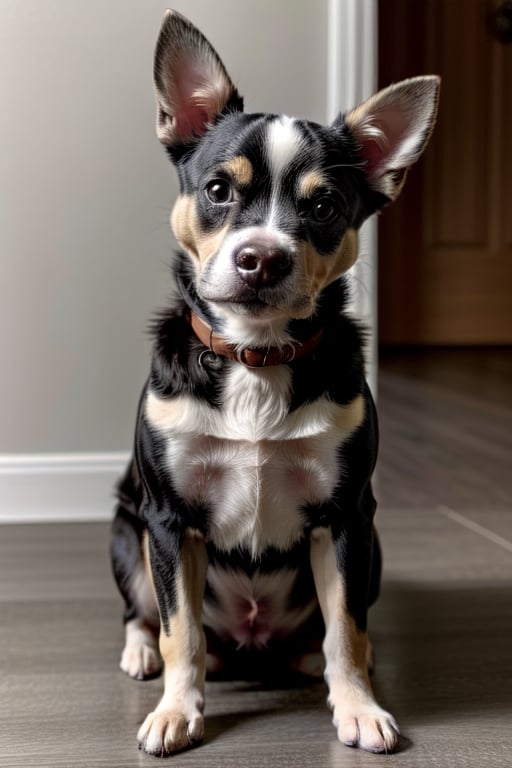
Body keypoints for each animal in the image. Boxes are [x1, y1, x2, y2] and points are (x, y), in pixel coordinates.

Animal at [110, 10, 438, 756]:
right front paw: (177, 710)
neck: (255, 357)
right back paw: (139, 654)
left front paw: (358, 706)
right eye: (218, 191)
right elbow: (181, 632)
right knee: (147, 615)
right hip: (127, 525)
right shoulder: (169, 520)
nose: (261, 257)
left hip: (371, 544)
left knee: (328, 634)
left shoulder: (346, 518)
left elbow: (347, 629)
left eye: (325, 208)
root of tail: (251, 641)